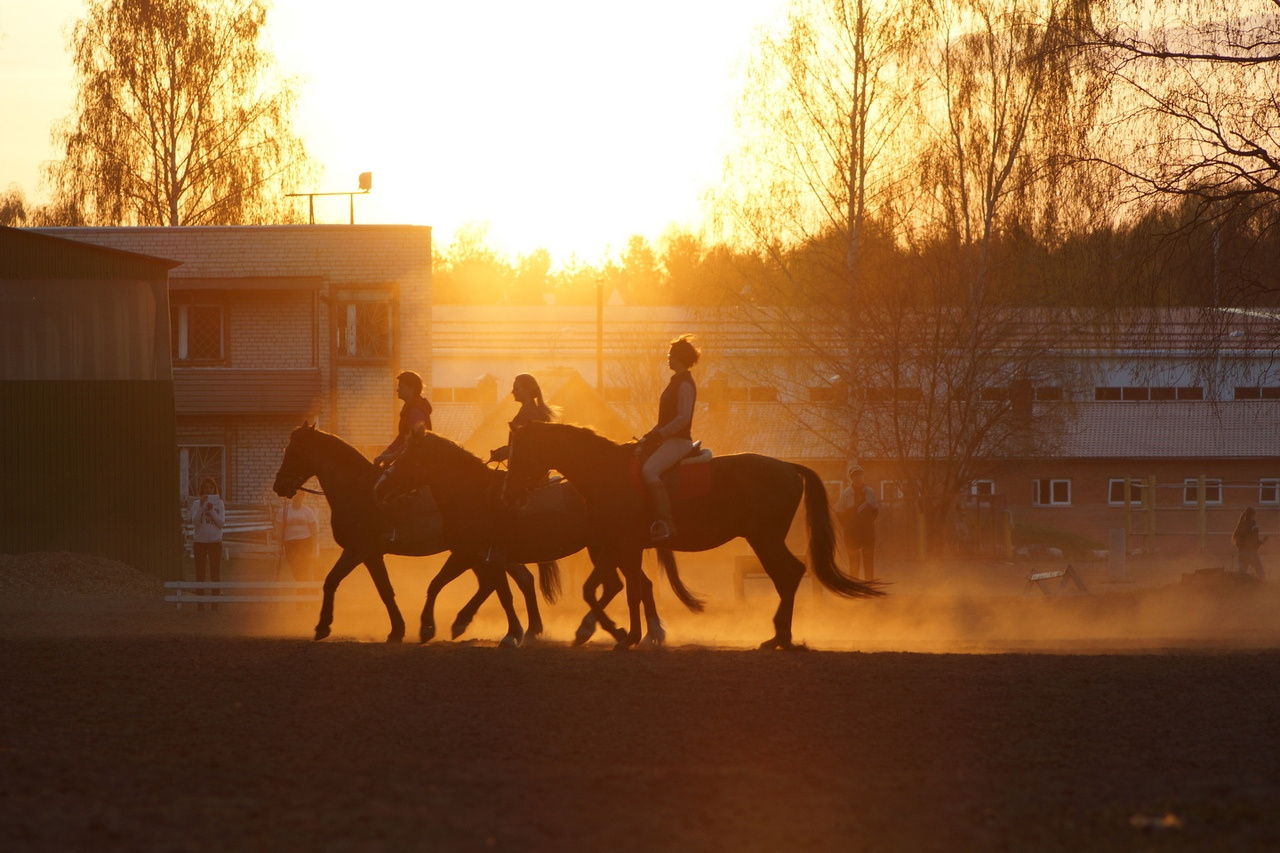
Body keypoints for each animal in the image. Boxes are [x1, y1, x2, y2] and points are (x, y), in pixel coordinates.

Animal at [270, 417, 529, 645]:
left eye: (293, 452)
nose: (279, 486)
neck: (357, 492)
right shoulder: (372, 555)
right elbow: (385, 591)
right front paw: (397, 630)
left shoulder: (357, 550)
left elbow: (331, 581)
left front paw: (323, 626)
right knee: (504, 581)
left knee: (499, 582)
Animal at [373, 425, 701, 645]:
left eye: (409, 458)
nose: (380, 486)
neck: (474, 495)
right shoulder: (478, 555)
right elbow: (454, 586)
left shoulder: (478, 555)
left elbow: (496, 592)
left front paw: (503, 633)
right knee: (628, 585)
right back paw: (629, 631)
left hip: (610, 547)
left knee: (626, 585)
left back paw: (630, 631)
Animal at [504, 417, 885, 645]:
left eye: (521, 452)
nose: (511, 494)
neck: (606, 473)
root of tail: (788, 467)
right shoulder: (619, 547)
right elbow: (615, 589)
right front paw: (629, 633)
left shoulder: (623, 545)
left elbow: (621, 590)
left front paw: (623, 633)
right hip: (764, 539)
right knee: (788, 576)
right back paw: (780, 636)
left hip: (764, 538)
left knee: (789, 574)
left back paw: (780, 637)